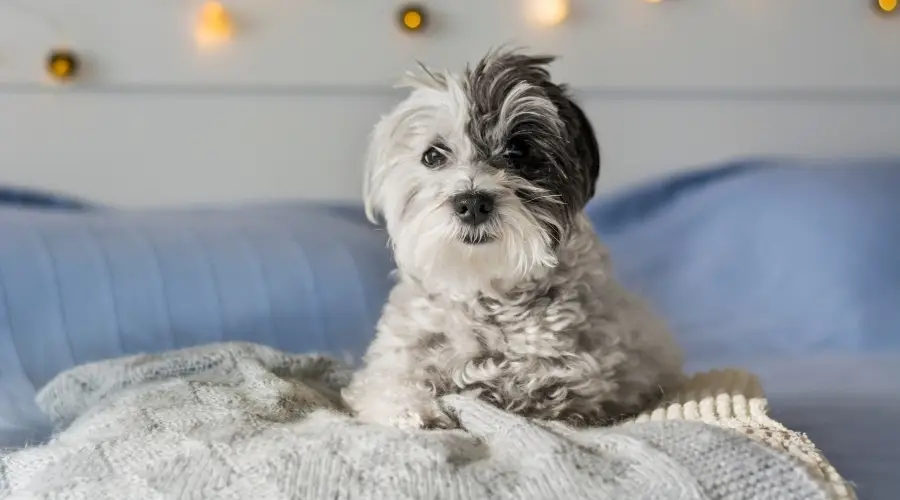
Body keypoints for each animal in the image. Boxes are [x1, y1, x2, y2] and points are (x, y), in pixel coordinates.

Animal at [342, 49, 684, 430]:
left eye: (519, 150)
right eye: (432, 155)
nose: (472, 203)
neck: (488, 291)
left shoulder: (574, 384)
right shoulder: (391, 361)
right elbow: (391, 383)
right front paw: (412, 410)